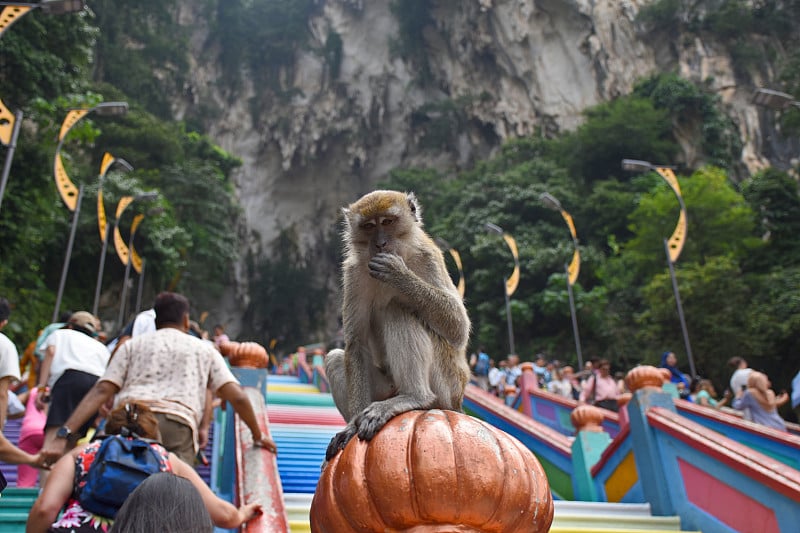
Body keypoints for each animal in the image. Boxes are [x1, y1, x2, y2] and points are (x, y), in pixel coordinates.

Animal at [324, 190, 472, 458]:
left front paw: (398, 274)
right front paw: (351, 427)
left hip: (447, 384)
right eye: (369, 226)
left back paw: (415, 397)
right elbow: (356, 344)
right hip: (387, 387)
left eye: (388, 222)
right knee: (336, 358)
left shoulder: (428, 257)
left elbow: (458, 327)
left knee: (397, 310)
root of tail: (457, 401)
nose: (380, 244)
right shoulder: (353, 272)